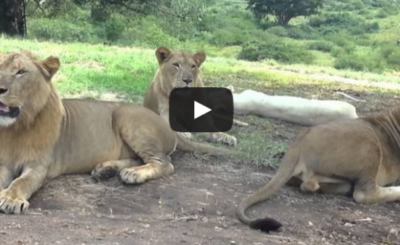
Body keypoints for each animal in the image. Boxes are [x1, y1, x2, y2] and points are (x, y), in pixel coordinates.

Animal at [0, 51, 230, 214]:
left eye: (21, 72)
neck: (15, 128)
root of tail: (170, 128)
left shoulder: (39, 166)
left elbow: (21, 182)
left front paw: (11, 199)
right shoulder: (4, 162)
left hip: (125, 115)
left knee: (164, 163)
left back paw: (133, 174)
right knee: (141, 159)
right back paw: (107, 170)